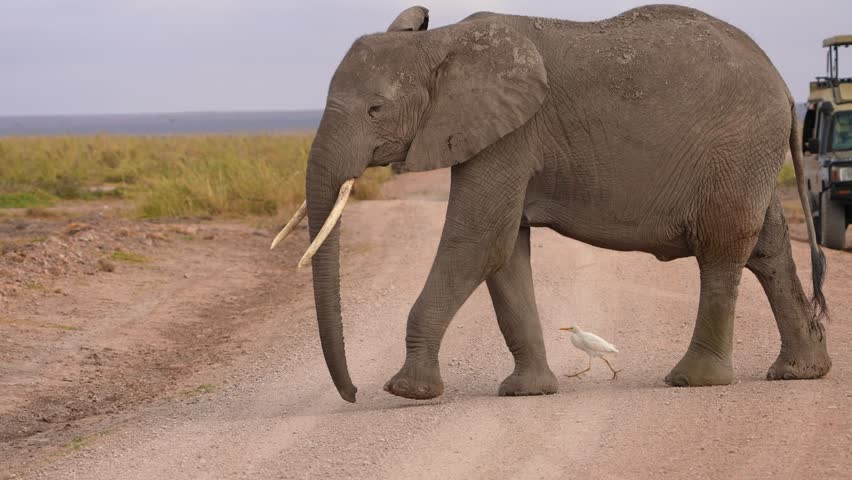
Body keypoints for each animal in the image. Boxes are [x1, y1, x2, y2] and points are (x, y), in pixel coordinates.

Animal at [273, 5, 831, 403]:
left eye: (376, 109)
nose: (351, 394)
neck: (441, 43)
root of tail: (786, 88)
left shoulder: (511, 134)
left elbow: (476, 241)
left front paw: (407, 392)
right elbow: (504, 251)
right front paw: (527, 392)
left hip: (736, 149)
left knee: (722, 250)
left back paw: (693, 381)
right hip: (750, 155)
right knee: (768, 252)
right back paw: (801, 372)